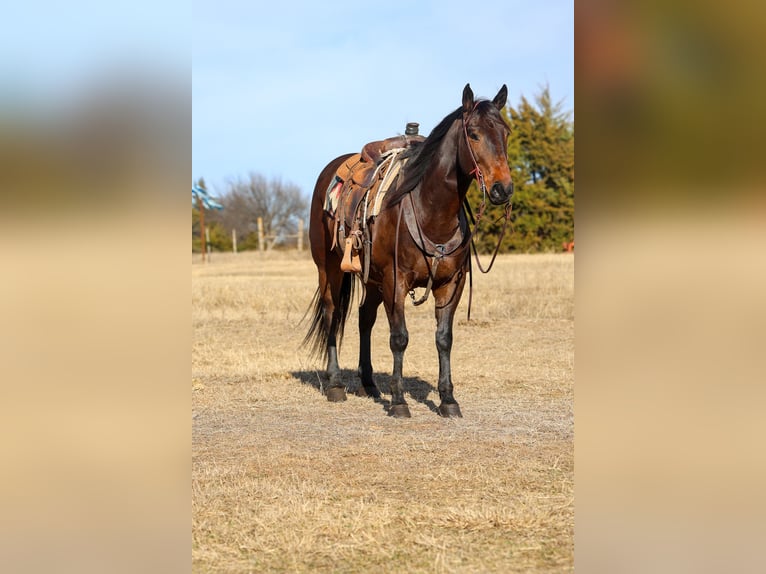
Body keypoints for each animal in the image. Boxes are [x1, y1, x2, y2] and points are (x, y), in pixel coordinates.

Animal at [304, 84, 513, 418]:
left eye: (505, 133)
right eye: (474, 133)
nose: (502, 189)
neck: (432, 211)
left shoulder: (450, 285)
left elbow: (444, 339)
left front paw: (448, 400)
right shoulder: (396, 282)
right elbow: (399, 338)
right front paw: (399, 401)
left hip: (372, 279)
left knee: (364, 318)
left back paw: (369, 383)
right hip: (330, 269)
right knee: (332, 314)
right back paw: (336, 384)